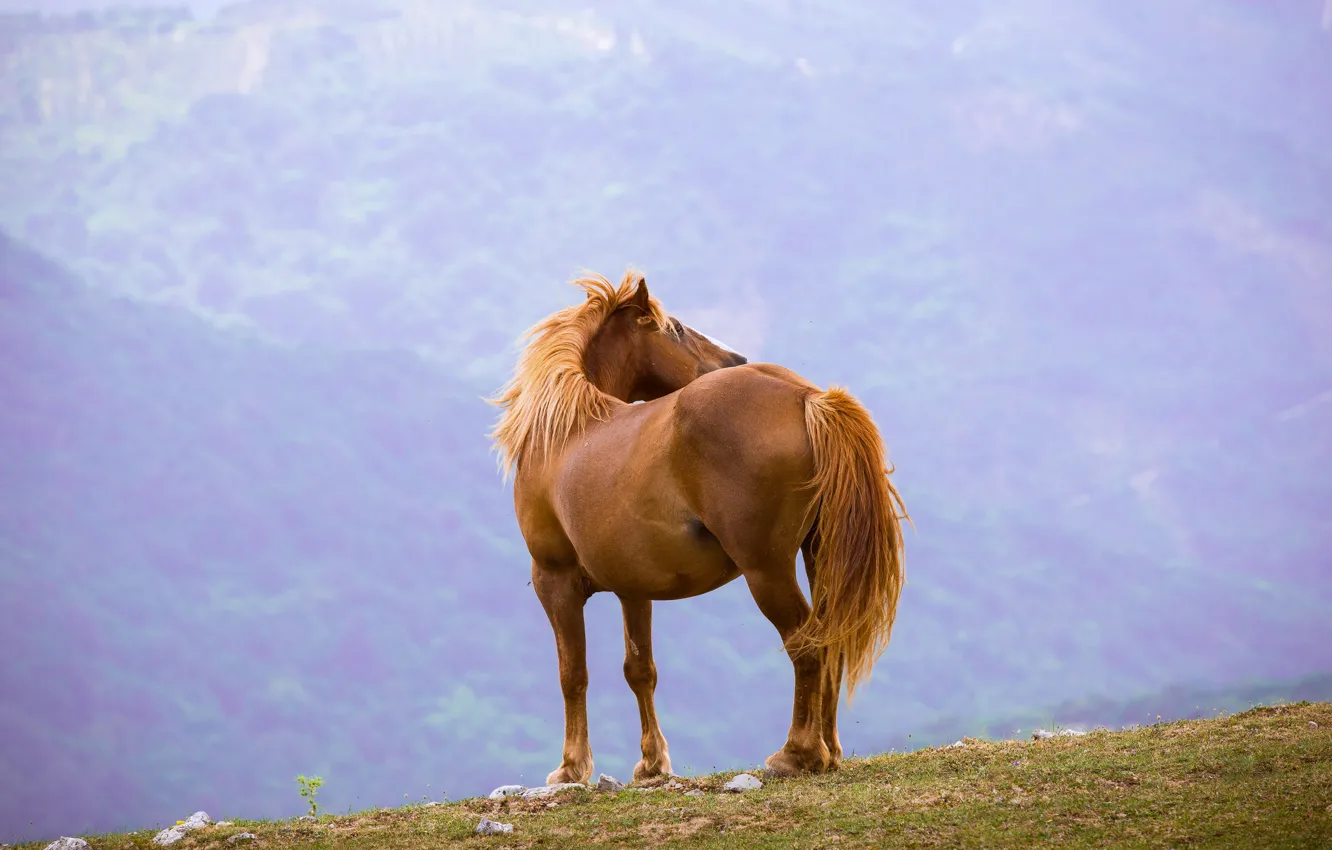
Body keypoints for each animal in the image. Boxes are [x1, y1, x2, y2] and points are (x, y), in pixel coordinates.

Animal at [488, 270, 908, 784]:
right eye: (676, 329)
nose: (736, 358)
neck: (567, 434)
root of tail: (807, 397)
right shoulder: (633, 588)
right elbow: (639, 669)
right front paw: (651, 763)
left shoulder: (555, 579)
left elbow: (573, 673)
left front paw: (571, 767)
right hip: (819, 556)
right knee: (830, 641)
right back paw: (828, 750)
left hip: (766, 570)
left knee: (805, 645)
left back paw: (797, 753)